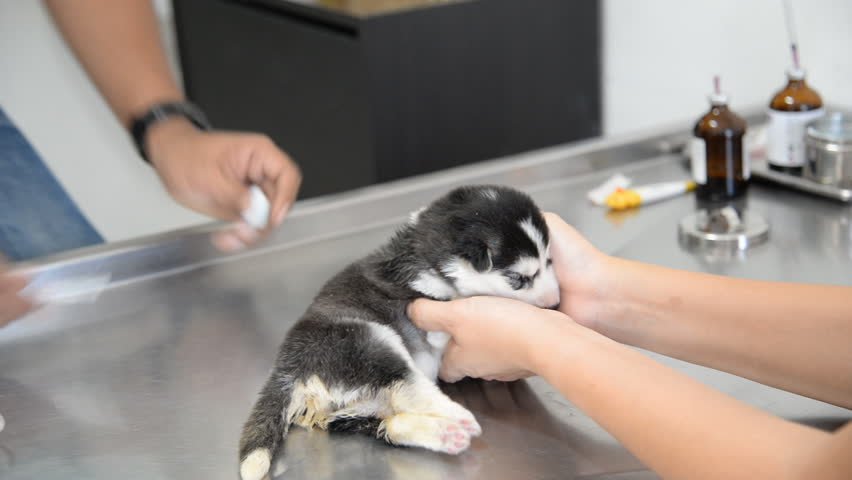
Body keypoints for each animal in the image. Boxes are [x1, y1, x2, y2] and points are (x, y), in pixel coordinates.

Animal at [240, 185, 560, 480]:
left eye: (550, 261)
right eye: (519, 278)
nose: (556, 302)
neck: (426, 253)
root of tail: (287, 367)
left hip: (352, 408)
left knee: (391, 420)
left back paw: (445, 435)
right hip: (367, 342)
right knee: (408, 386)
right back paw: (458, 416)